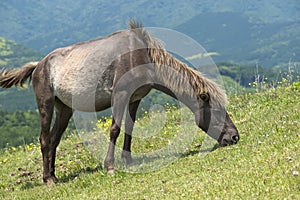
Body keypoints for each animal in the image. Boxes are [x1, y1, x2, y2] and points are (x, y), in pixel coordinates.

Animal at [0, 20, 239, 184]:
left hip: (64, 110)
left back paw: (53, 176)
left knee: (53, 140)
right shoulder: (120, 95)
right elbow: (114, 129)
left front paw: (129, 160)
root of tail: (38, 65)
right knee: (43, 139)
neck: (143, 56)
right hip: (46, 105)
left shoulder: (135, 98)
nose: (234, 137)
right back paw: (47, 179)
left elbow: (130, 128)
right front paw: (110, 166)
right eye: (218, 110)